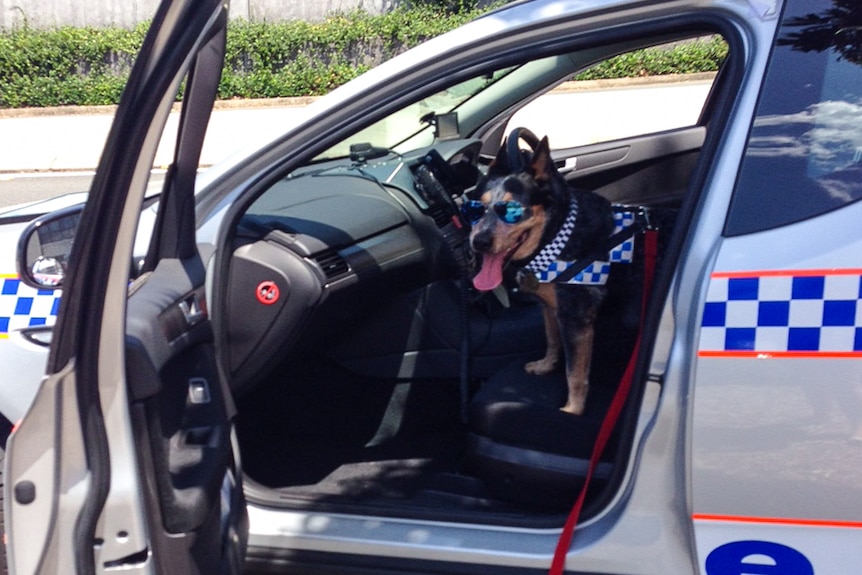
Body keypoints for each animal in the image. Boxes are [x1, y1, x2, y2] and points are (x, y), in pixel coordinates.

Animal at [466, 133, 616, 416]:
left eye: (512, 209)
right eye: (476, 208)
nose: (479, 242)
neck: (558, 235)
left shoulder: (576, 320)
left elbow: (574, 373)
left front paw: (572, 411)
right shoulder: (549, 307)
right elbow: (551, 339)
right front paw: (545, 366)